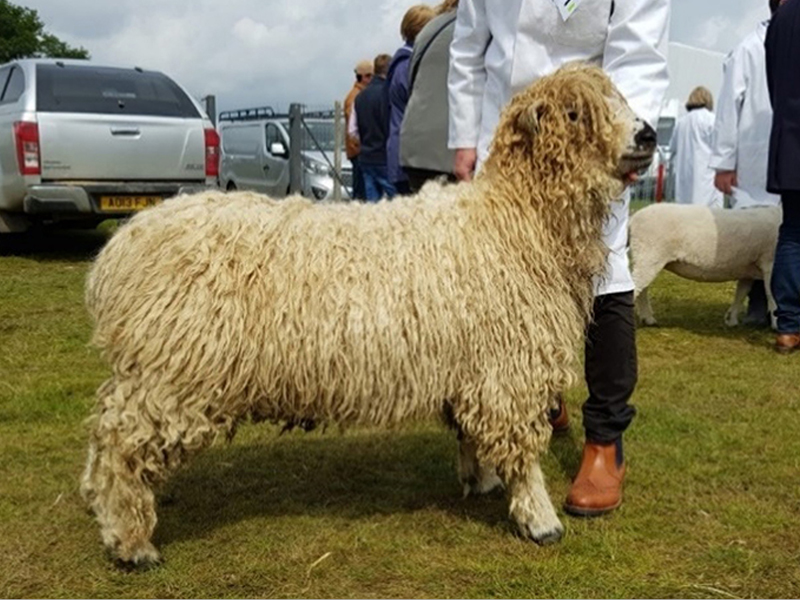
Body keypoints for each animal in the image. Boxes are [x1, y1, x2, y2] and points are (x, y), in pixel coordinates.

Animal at [80, 63, 656, 567]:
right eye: (575, 114)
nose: (648, 135)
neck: (514, 219)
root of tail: (120, 255)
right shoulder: (507, 369)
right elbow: (522, 451)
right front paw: (539, 518)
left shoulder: (473, 369)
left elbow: (470, 434)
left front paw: (479, 480)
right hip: (174, 371)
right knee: (118, 446)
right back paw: (131, 542)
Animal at [629, 203, 781, 328]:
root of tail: (634, 218)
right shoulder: (770, 263)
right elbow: (772, 296)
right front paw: (776, 325)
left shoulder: (747, 269)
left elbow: (741, 293)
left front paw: (731, 320)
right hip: (649, 253)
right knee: (637, 286)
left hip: (648, 258)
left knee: (642, 288)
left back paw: (648, 319)